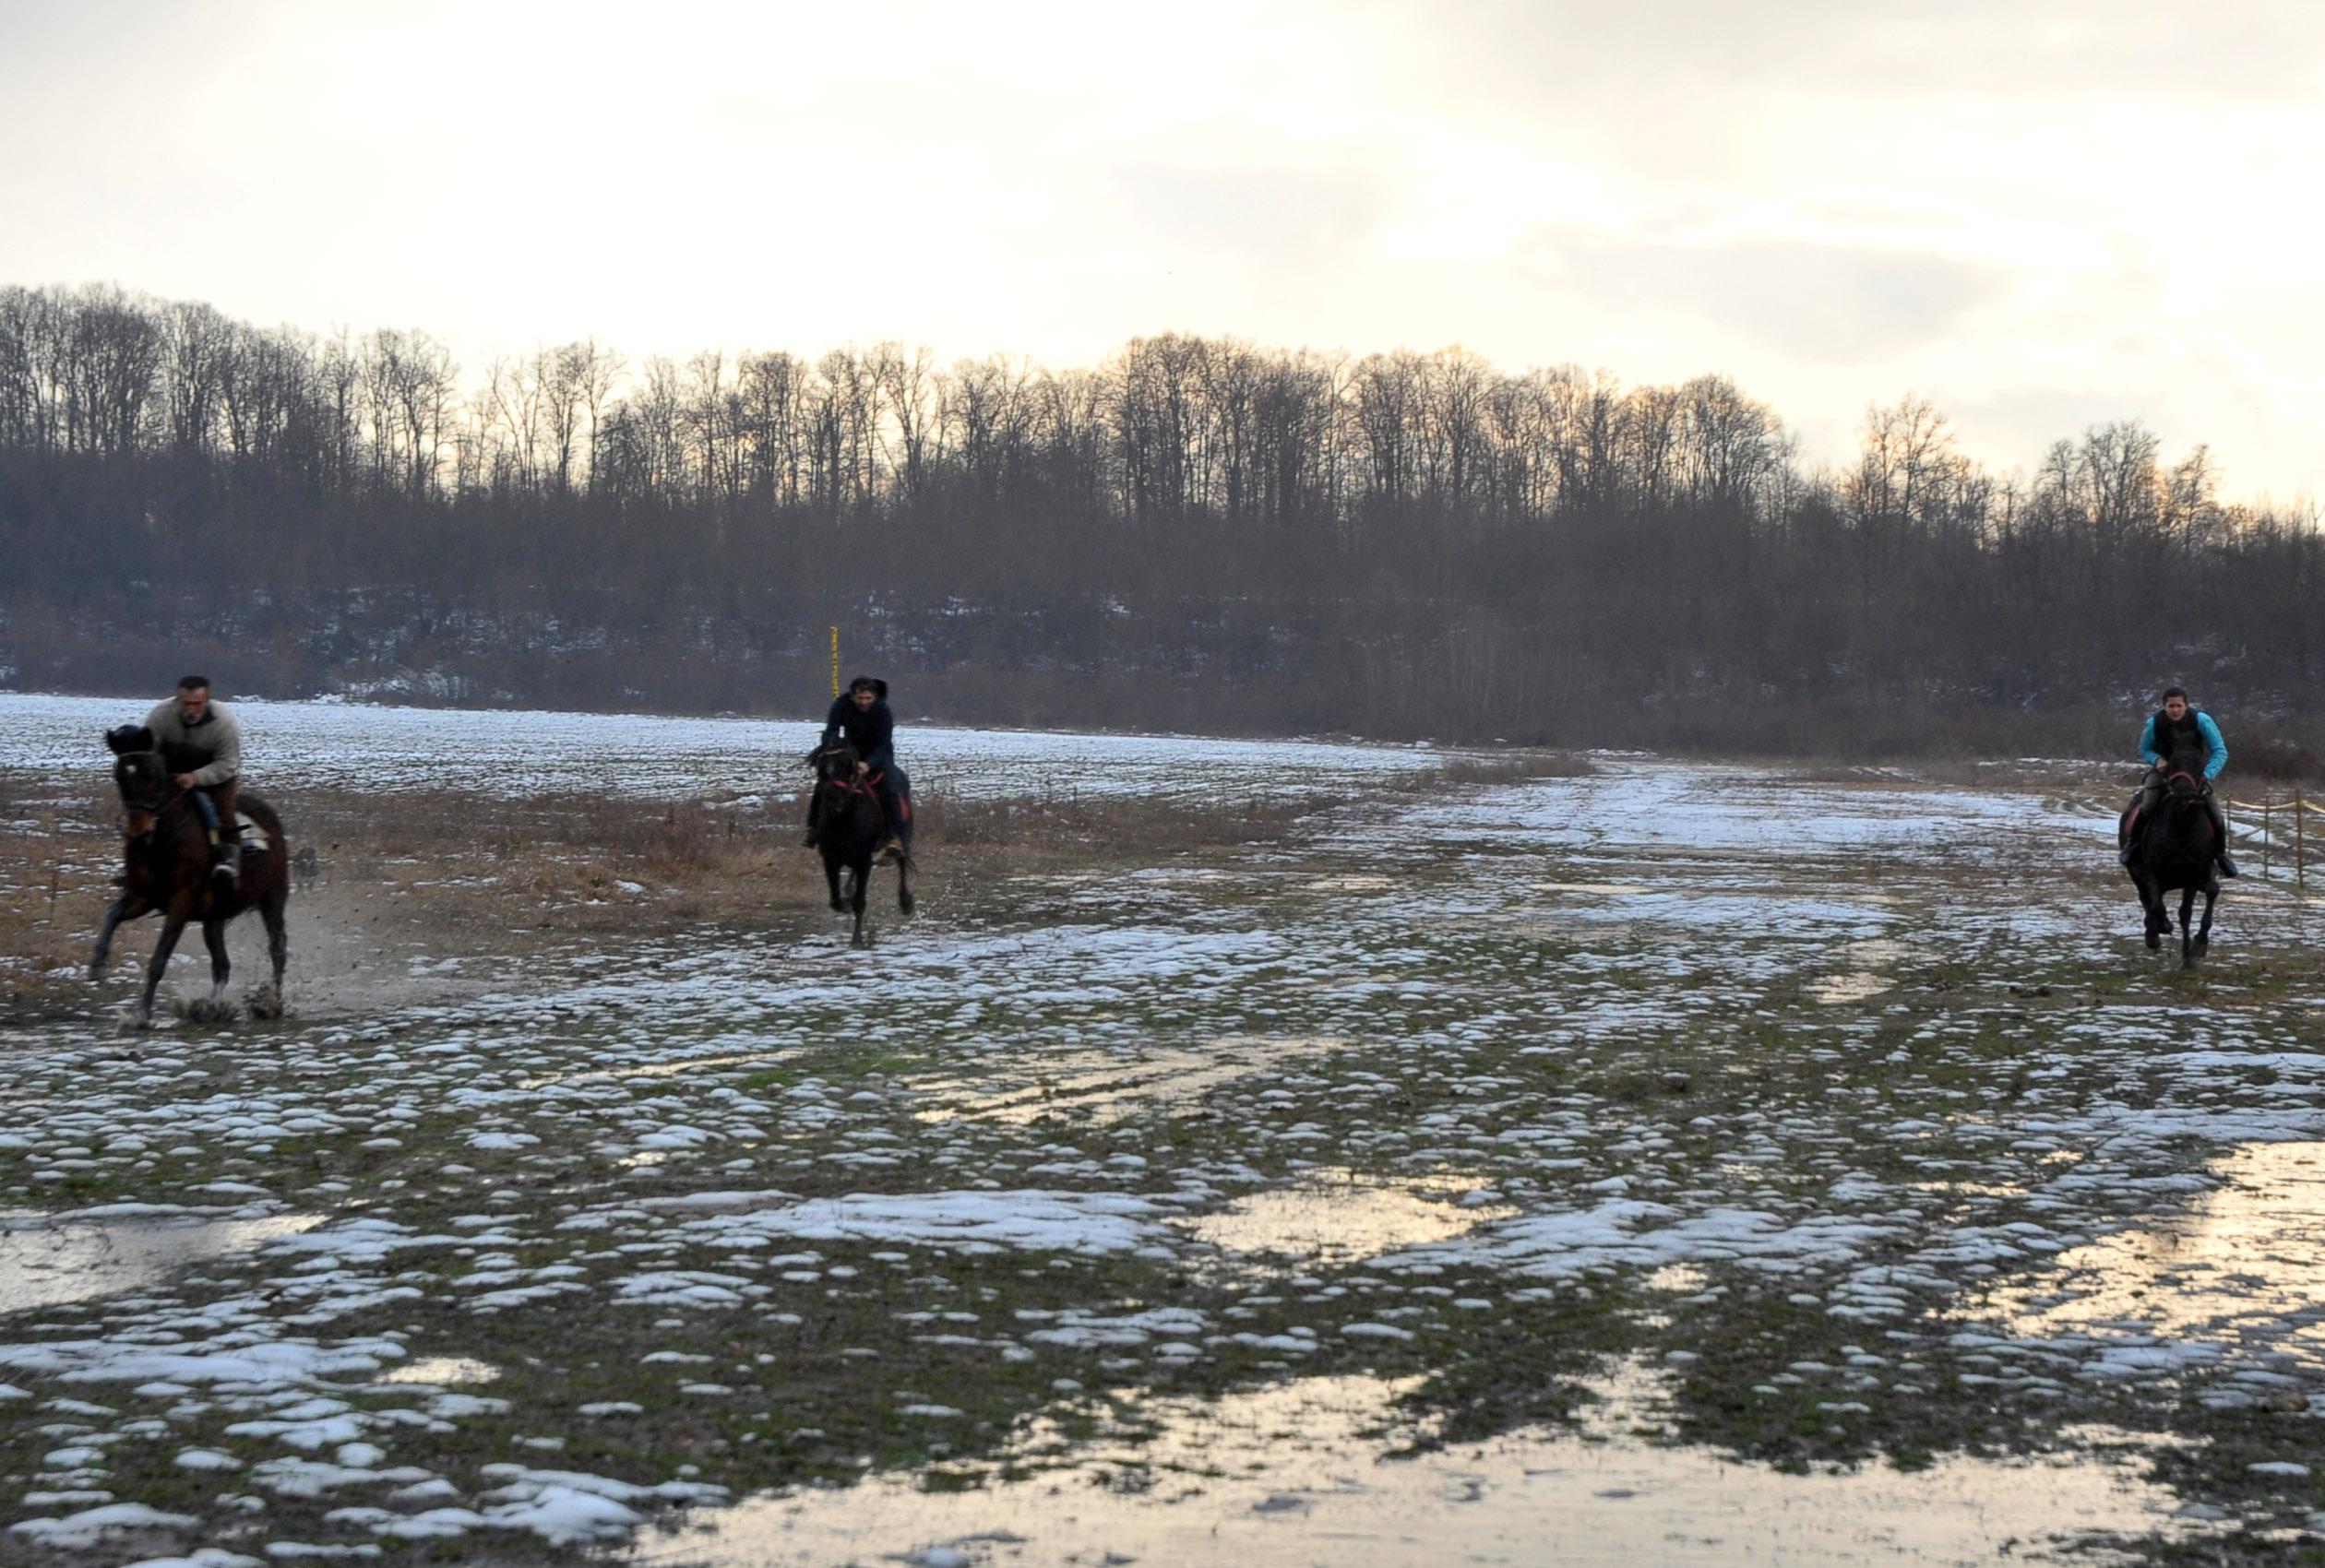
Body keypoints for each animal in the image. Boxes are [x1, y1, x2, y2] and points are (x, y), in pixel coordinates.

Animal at [90, 724, 288, 1022]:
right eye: (120, 775)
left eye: (150, 773)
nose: (138, 830)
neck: (162, 840)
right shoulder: (140, 897)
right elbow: (111, 915)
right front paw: (97, 964)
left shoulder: (180, 904)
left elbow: (159, 959)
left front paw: (142, 1015)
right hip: (214, 918)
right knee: (222, 965)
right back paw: (210, 1006)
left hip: (272, 900)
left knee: (277, 949)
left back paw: (272, 1003)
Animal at [814, 742, 911, 952]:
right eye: (823, 769)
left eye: (848, 768)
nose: (833, 800)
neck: (844, 820)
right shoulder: (830, 859)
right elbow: (835, 901)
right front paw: (845, 902)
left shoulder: (864, 860)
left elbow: (860, 902)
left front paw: (857, 939)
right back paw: (848, 889)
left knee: (902, 862)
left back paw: (906, 901)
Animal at [2129, 753, 2213, 970]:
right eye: (2173, 763)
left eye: (2200, 765)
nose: (2185, 793)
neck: (2182, 827)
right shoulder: (2152, 873)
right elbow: (2156, 906)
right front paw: (2163, 926)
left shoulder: (2194, 874)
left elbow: (2187, 912)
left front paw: (2191, 954)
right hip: (2137, 875)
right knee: (2146, 899)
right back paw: (2153, 933)